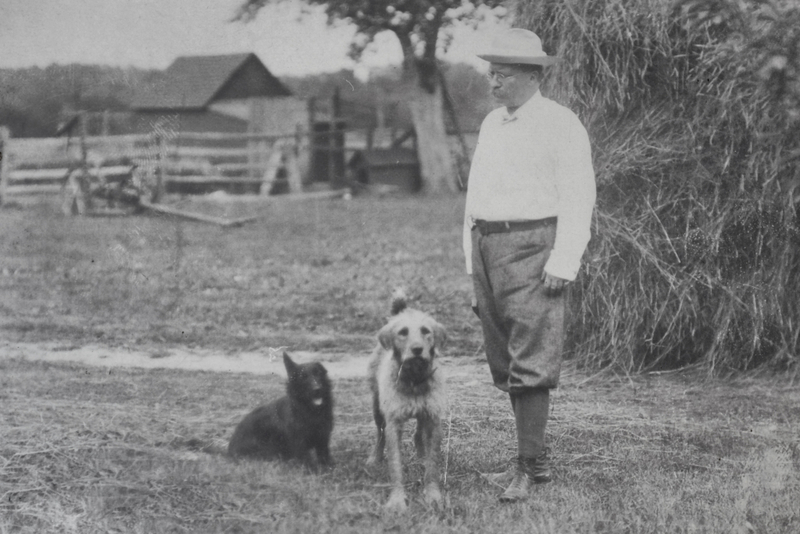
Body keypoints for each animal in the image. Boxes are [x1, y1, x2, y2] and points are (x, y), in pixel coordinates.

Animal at [366, 296, 446, 512]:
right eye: (402, 332)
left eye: (426, 331)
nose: (417, 350)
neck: (414, 379)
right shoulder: (393, 424)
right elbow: (395, 464)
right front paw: (397, 500)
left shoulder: (433, 419)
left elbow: (433, 465)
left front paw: (433, 495)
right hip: (377, 408)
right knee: (380, 435)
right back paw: (375, 458)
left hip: (423, 415)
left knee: (418, 434)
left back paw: (421, 455)